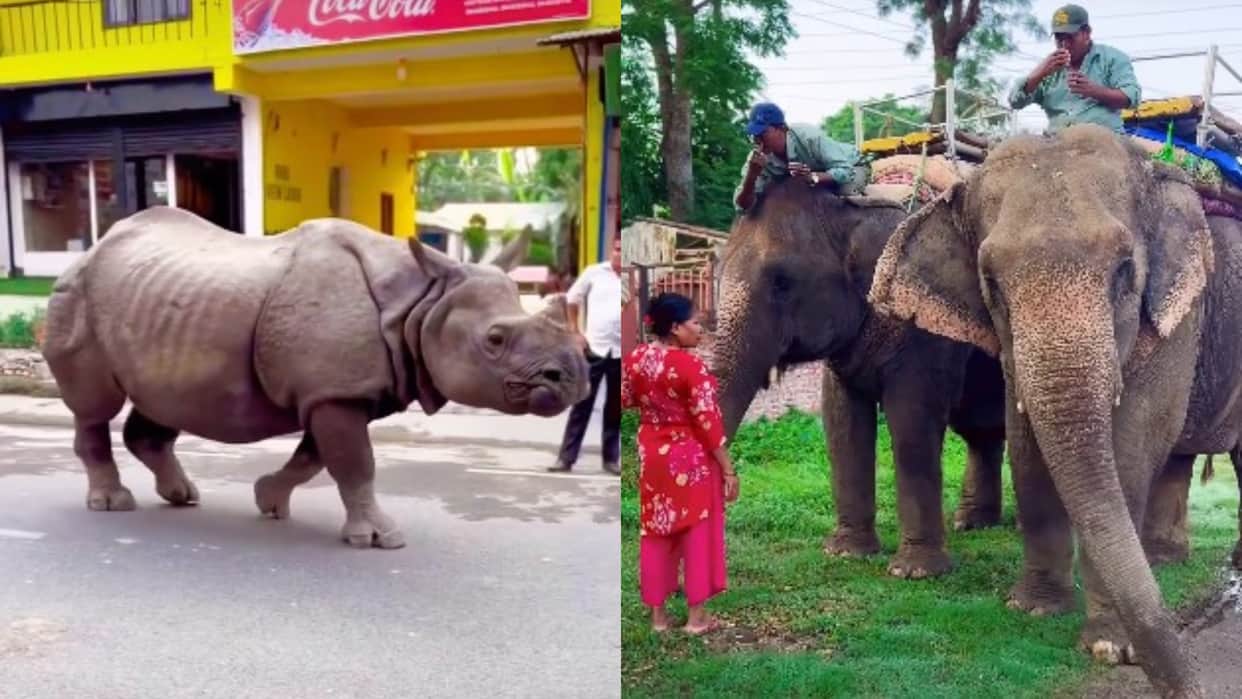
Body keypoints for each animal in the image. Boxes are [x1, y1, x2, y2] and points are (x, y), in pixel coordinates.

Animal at [41, 206, 590, 549]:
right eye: (495, 339)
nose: (574, 379)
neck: (422, 301)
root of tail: (92, 247)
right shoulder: (334, 393)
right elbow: (354, 464)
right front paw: (381, 539)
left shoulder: (335, 391)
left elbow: (317, 459)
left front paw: (268, 500)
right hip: (77, 292)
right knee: (95, 408)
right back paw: (113, 504)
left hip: (157, 301)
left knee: (163, 401)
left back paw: (182, 496)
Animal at [711, 177, 1007, 579]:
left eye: (782, 282)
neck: (852, 208)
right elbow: (841, 423)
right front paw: (846, 554)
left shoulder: (924, 330)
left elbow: (912, 421)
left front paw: (914, 573)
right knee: (983, 432)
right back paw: (972, 524)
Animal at [867, 124, 1242, 697]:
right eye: (991, 283)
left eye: (1125, 269)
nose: (1189, 686)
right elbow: (1026, 443)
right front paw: (1037, 609)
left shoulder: (1182, 311)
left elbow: (1133, 442)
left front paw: (1110, 644)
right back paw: (1163, 561)